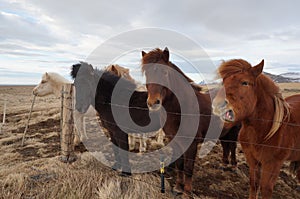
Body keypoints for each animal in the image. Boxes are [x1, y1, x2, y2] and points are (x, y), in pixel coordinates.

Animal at [212, 58, 300, 198]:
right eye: (224, 81)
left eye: (245, 82)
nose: (217, 104)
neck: (264, 130)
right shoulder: (252, 159)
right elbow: (254, 184)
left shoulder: (273, 164)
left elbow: (266, 189)